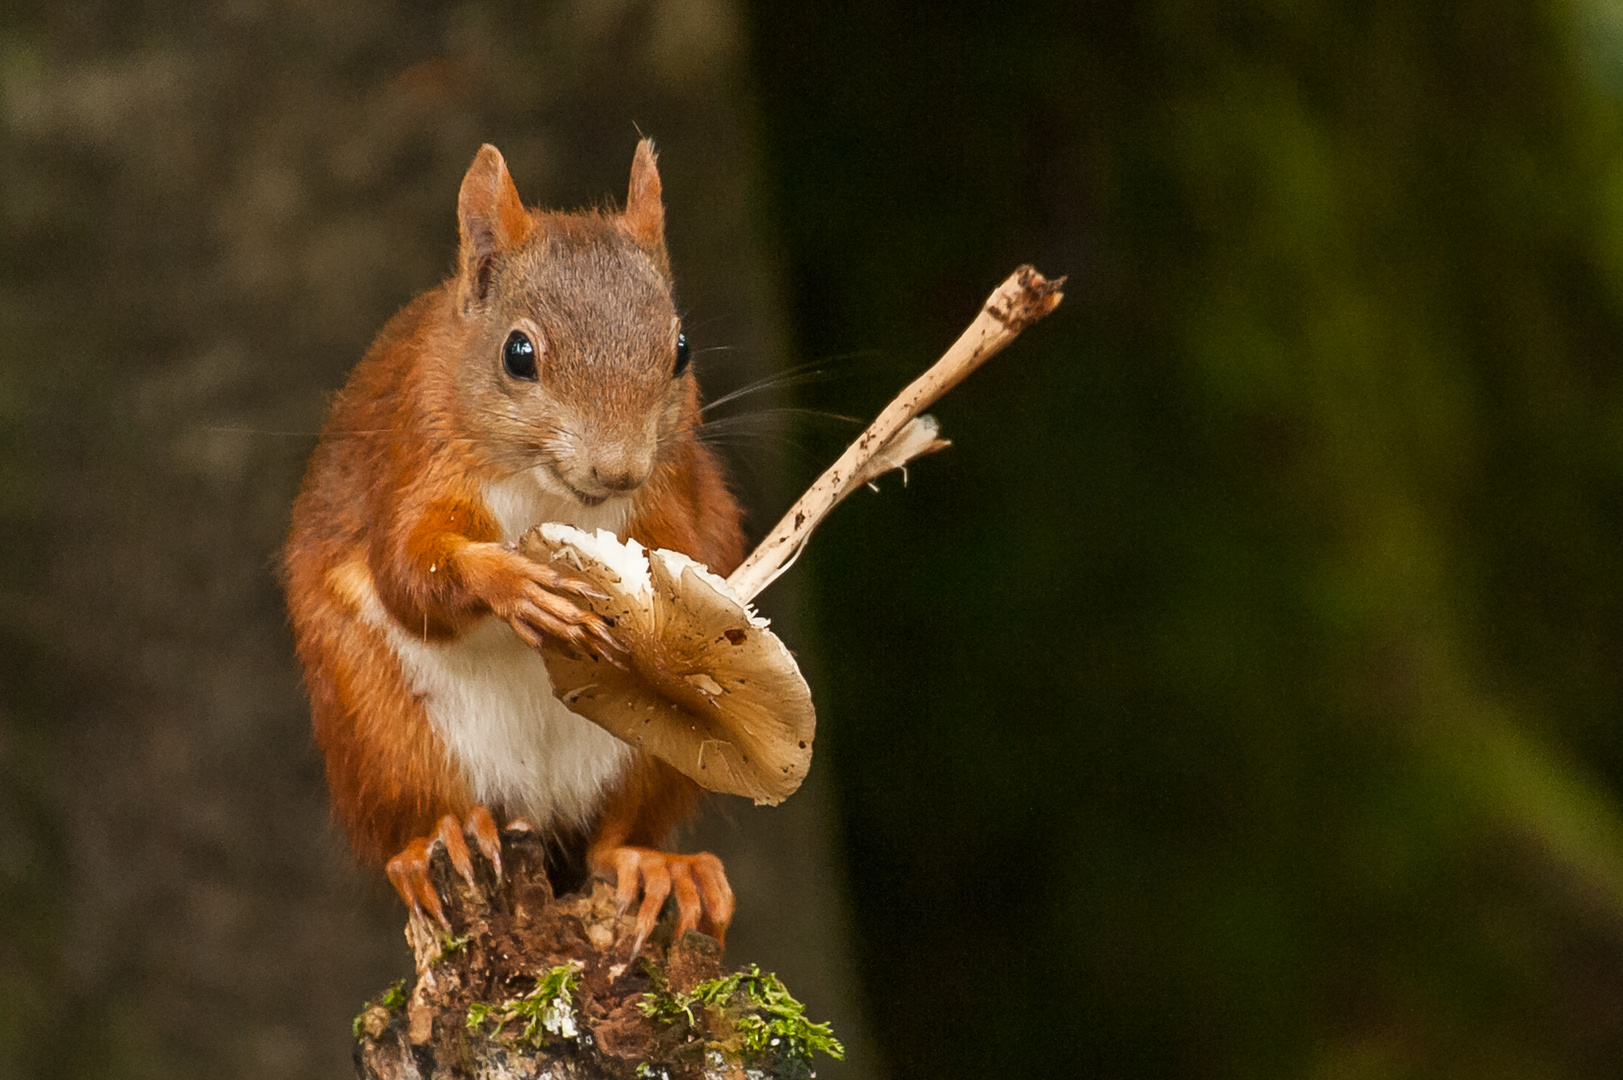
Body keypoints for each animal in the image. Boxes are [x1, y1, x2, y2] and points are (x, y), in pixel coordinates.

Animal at [287, 138, 746, 948]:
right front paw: (514, 584)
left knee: (613, 841)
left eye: (682, 350)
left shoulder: (672, 493)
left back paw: (658, 867)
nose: (616, 469)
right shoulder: (419, 456)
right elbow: (408, 573)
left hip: (655, 759)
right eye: (519, 353)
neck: (548, 494)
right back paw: (440, 840)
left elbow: (693, 553)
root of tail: (538, 810)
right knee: (420, 811)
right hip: (378, 729)